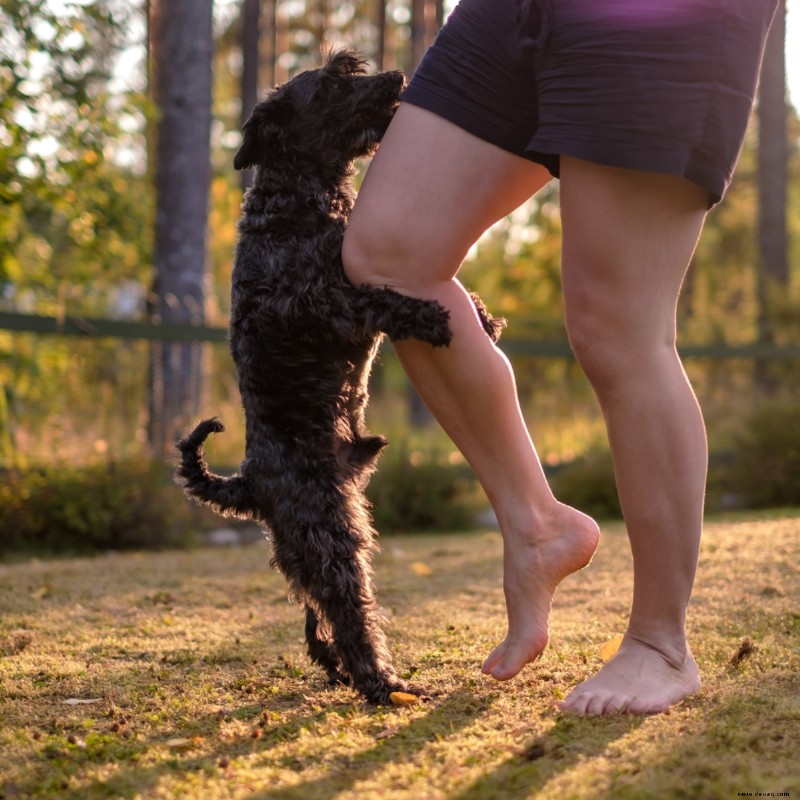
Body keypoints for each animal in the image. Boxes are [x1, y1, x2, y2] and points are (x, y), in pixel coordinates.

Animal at [175, 50, 504, 704]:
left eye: (351, 67)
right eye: (330, 84)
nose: (396, 79)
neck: (296, 202)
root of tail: (248, 482)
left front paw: (481, 315)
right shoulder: (320, 304)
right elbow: (380, 298)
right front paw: (433, 317)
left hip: (307, 547)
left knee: (315, 617)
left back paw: (338, 669)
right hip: (330, 537)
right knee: (349, 612)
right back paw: (381, 683)